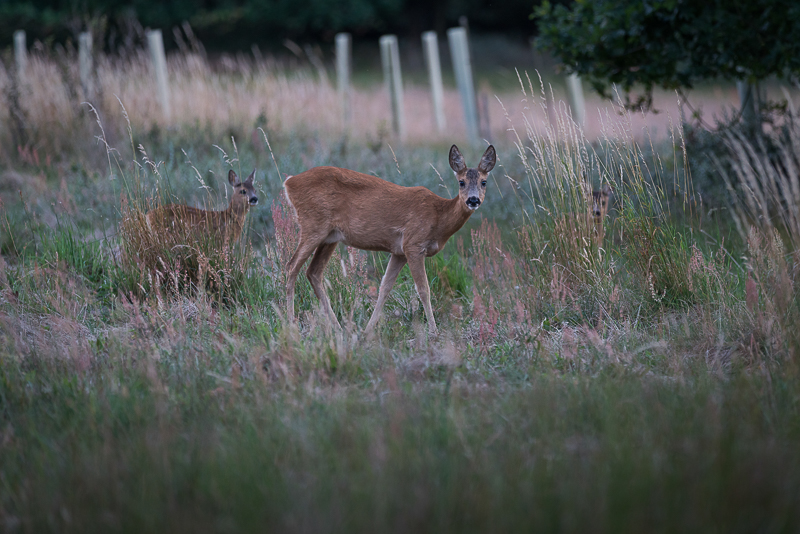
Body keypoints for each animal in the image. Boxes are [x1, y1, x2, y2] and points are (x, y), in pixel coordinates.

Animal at [282, 142, 494, 336]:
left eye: (484, 182)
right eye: (461, 182)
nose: (473, 200)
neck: (439, 218)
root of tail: (289, 183)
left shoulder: (398, 252)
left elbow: (385, 287)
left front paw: (367, 331)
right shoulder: (413, 244)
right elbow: (423, 289)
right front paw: (434, 332)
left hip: (329, 237)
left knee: (313, 272)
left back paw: (338, 328)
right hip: (313, 225)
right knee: (291, 266)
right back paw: (291, 324)